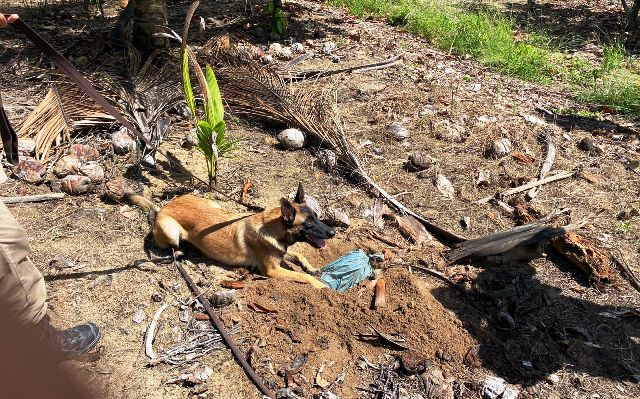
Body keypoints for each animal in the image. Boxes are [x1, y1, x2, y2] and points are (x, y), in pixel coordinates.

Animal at [122, 183, 338, 290]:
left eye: (316, 217)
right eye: (308, 223)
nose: (333, 232)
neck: (273, 227)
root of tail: (163, 207)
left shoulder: (281, 253)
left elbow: (300, 256)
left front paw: (312, 267)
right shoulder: (271, 270)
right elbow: (302, 276)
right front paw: (321, 285)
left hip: (214, 204)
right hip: (172, 231)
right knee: (170, 246)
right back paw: (182, 251)